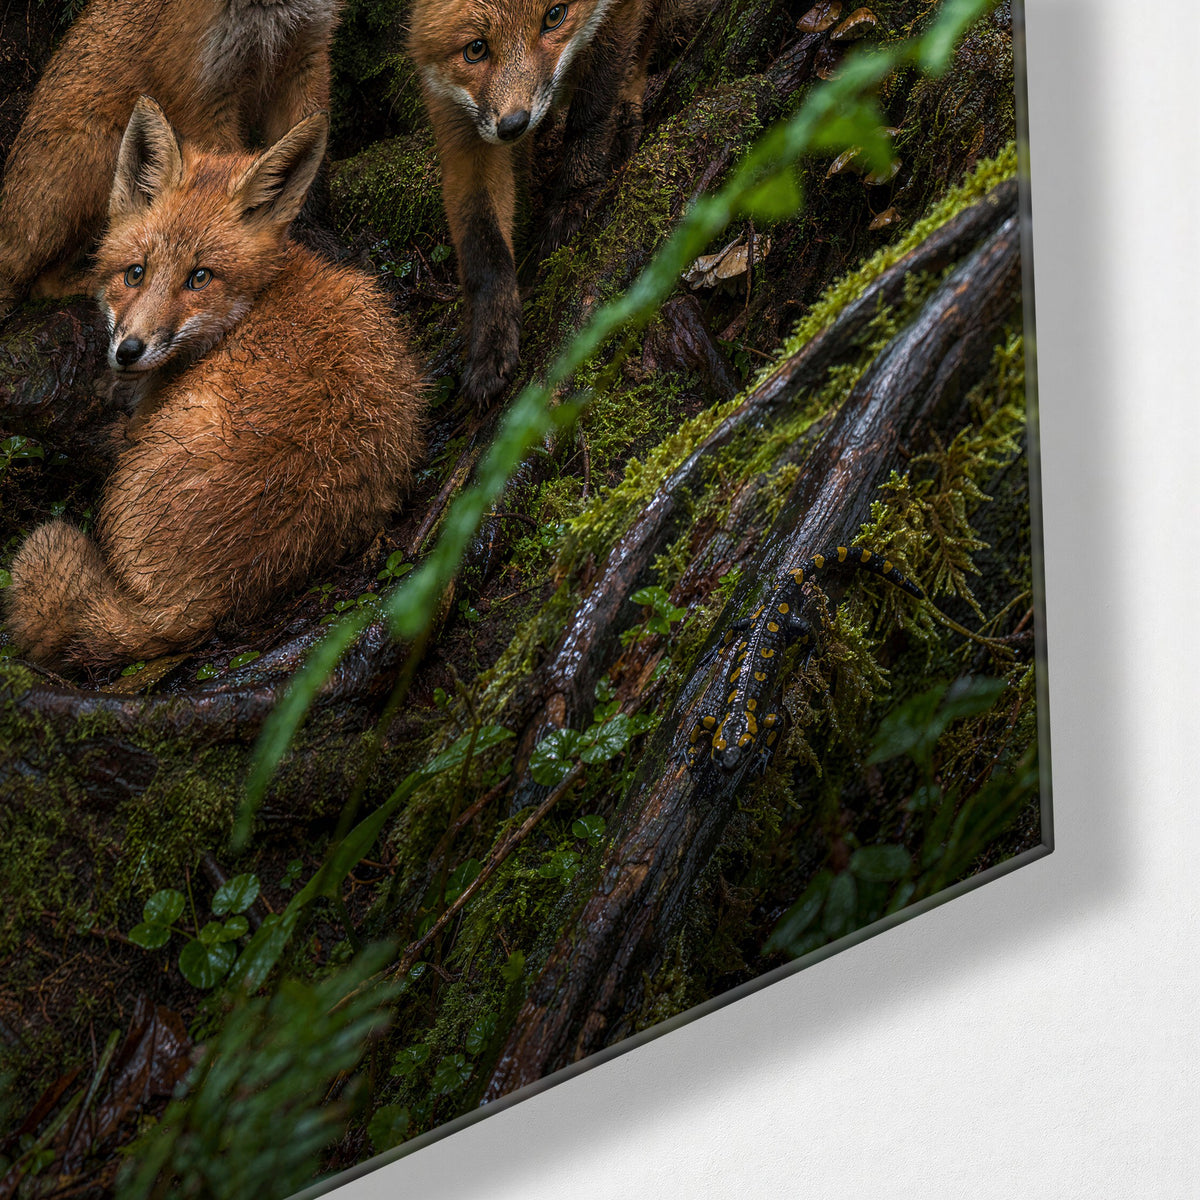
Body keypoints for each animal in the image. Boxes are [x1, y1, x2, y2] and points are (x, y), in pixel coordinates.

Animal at [0, 0, 341, 316]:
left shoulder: (306, 53)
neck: (266, 12)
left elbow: (307, 171)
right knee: (41, 284)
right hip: (101, 157)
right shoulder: (203, 90)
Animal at [407, 0, 710, 407]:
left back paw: (625, 116)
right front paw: (491, 343)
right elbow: (482, 245)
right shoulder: (457, 113)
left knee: (639, 53)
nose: (515, 125)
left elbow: (592, 111)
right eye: (476, 49)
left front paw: (575, 195)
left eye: (554, 16)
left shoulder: (616, 15)